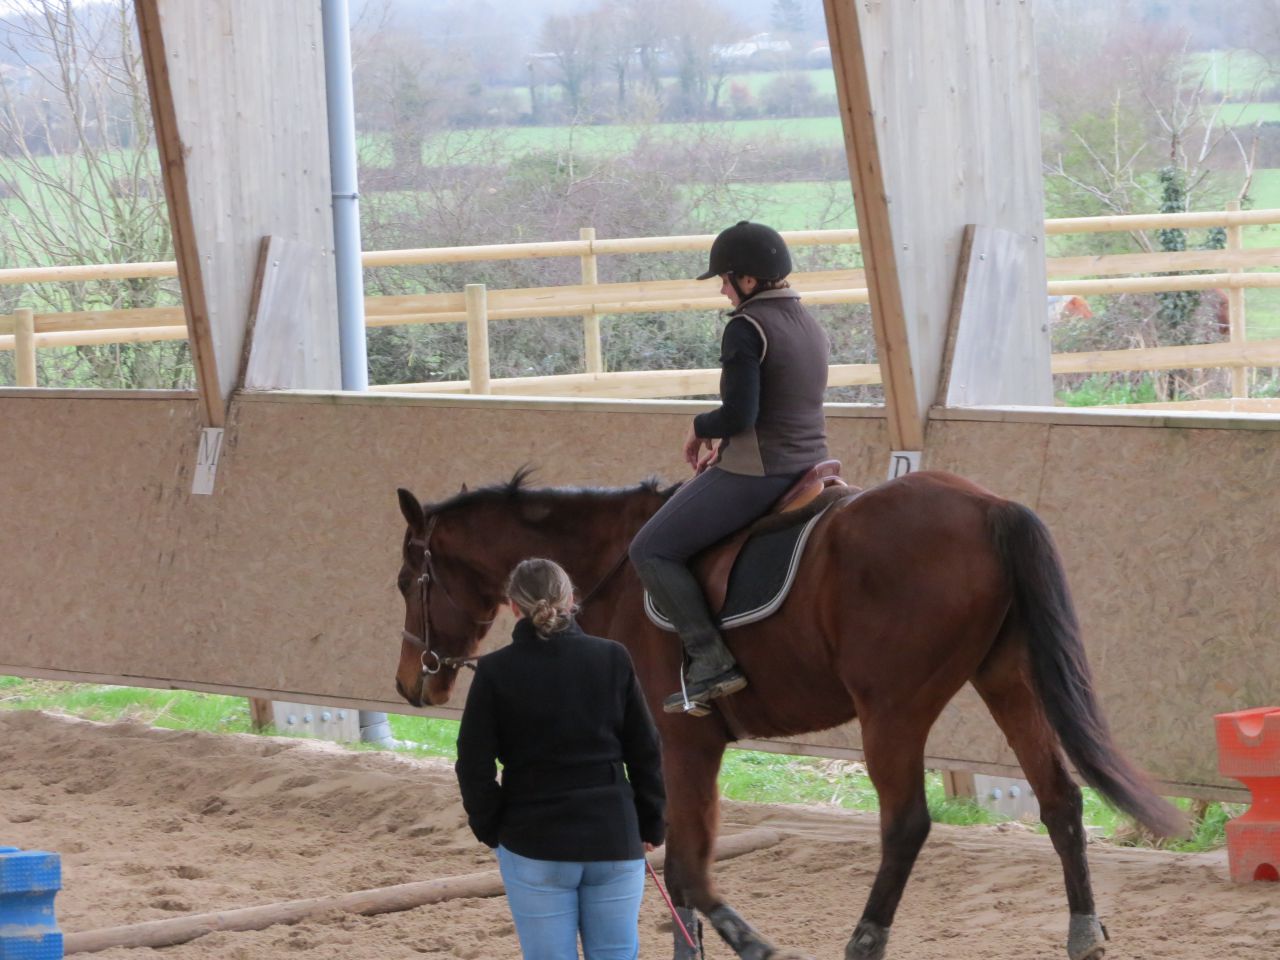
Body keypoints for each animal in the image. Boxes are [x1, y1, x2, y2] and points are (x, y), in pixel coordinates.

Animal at [392, 468, 1183, 960]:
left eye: (407, 580)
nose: (409, 685)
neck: (610, 564)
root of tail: (985, 506)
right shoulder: (676, 749)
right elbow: (681, 866)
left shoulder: (681, 741)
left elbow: (688, 868)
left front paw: (748, 942)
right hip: (1007, 682)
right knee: (1060, 800)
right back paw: (1084, 933)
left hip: (892, 709)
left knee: (906, 824)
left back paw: (865, 940)